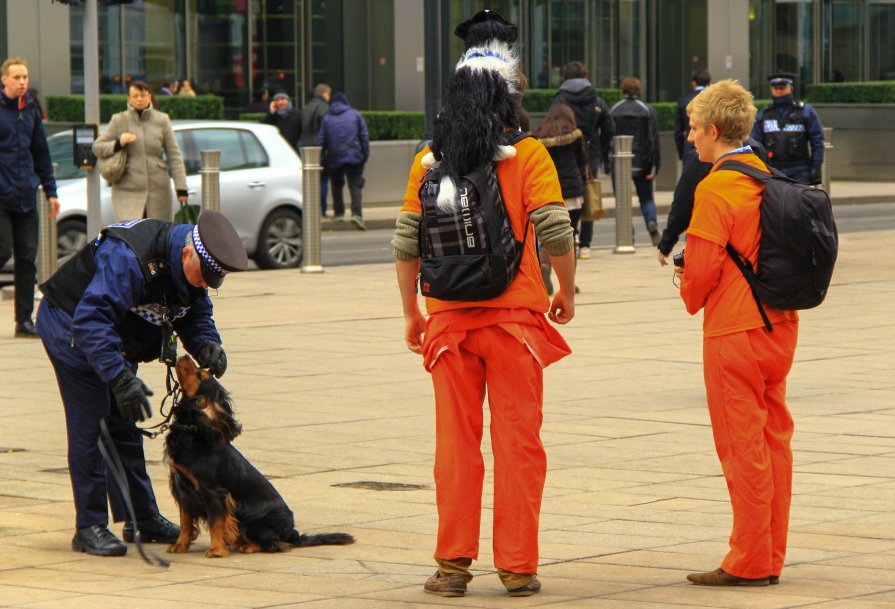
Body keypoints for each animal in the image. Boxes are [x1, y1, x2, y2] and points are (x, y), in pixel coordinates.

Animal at [166, 354, 356, 560]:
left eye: (200, 374)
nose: (184, 355)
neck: (193, 430)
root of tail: (293, 533)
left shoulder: (213, 492)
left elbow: (215, 522)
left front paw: (216, 550)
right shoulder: (183, 489)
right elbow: (185, 520)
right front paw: (180, 545)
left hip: (250, 517)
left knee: (279, 544)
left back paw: (250, 546)